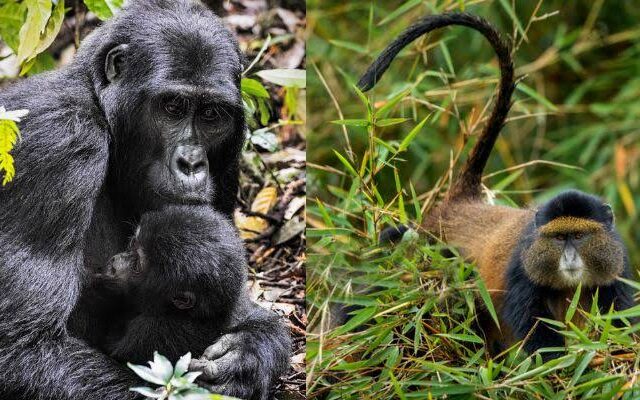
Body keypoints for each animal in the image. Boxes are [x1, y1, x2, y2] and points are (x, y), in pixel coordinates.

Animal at [357, 12, 635, 358]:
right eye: (559, 238)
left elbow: (619, 318)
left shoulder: (617, 265)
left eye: (580, 236)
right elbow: (533, 327)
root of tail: (463, 202)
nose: (570, 258)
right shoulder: (521, 269)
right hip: (431, 247)